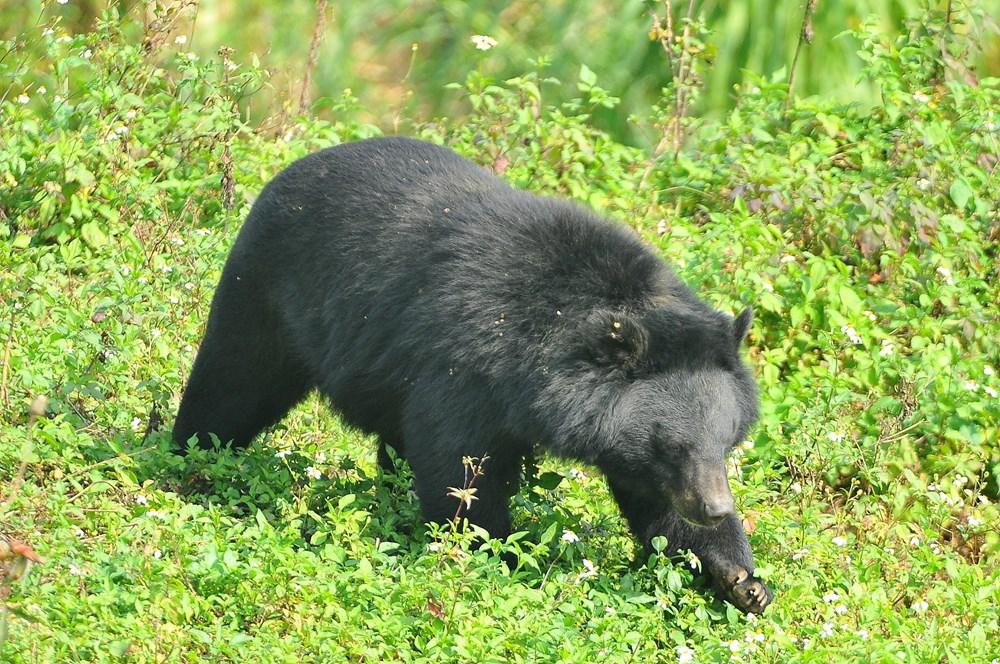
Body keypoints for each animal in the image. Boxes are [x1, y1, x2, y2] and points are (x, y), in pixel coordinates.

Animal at [174, 137, 772, 616]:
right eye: (672, 445)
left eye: (727, 443)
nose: (715, 507)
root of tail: (293, 168)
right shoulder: (465, 369)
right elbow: (459, 470)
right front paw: (499, 557)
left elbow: (658, 509)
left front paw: (741, 579)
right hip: (269, 292)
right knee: (231, 384)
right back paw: (189, 461)